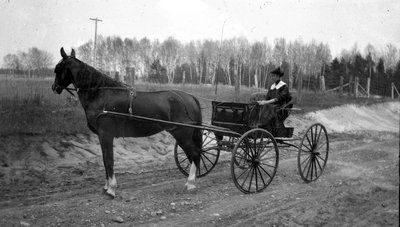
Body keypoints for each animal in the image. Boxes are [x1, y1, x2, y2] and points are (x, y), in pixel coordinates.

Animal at [52, 47, 203, 197]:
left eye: (58, 68)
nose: (54, 87)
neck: (102, 95)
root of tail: (190, 97)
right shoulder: (101, 136)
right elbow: (104, 160)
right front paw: (106, 187)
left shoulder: (106, 134)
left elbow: (109, 159)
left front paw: (111, 189)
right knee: (192, 154)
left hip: (182, 133)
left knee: (195, 153)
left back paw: (191, 183)